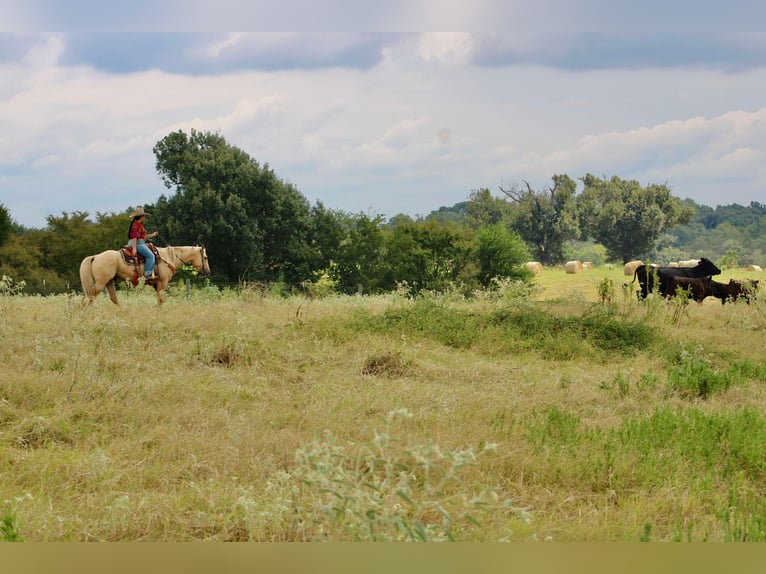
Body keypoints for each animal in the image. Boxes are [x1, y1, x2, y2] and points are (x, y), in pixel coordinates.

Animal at [79, 245, 211, 305]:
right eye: (205, 257)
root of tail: (95, 256)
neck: (168, 257)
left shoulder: (156, 284)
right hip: (100, 283)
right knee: (89, 298)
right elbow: (162, 300)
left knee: (114, 299)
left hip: (109, 282)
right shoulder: (163, 283)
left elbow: (160, 300)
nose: (208, 272)